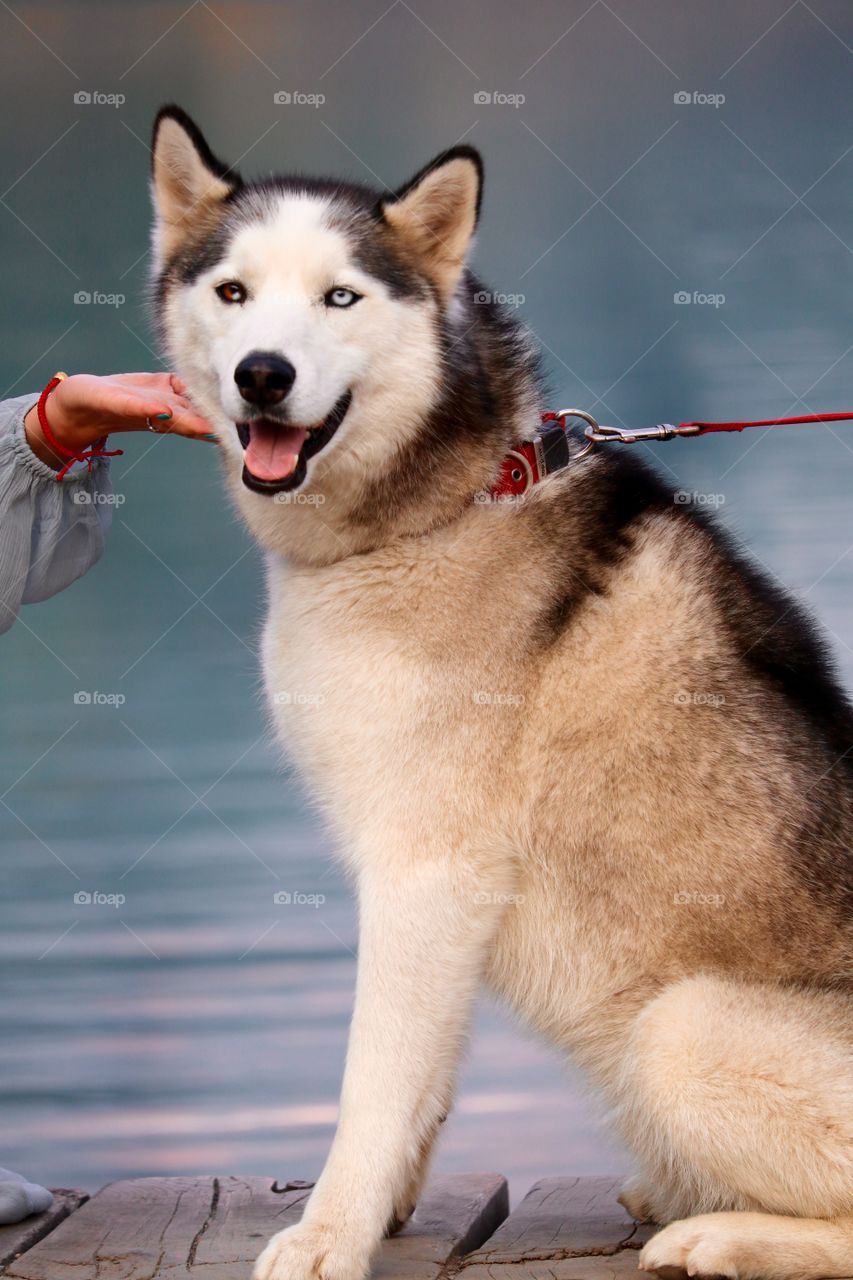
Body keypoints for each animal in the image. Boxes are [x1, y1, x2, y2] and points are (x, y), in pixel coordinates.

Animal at [151, 107, 850, 1280]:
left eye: (341, 296)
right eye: (234, 292)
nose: (261, 375)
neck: (443, 505)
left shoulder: (425, 866)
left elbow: (372, 1080)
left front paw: (328, 1232)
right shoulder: (431, 887)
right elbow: (419, 1078)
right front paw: (383, 1207)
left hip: (677, 1029)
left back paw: (719, 1229)